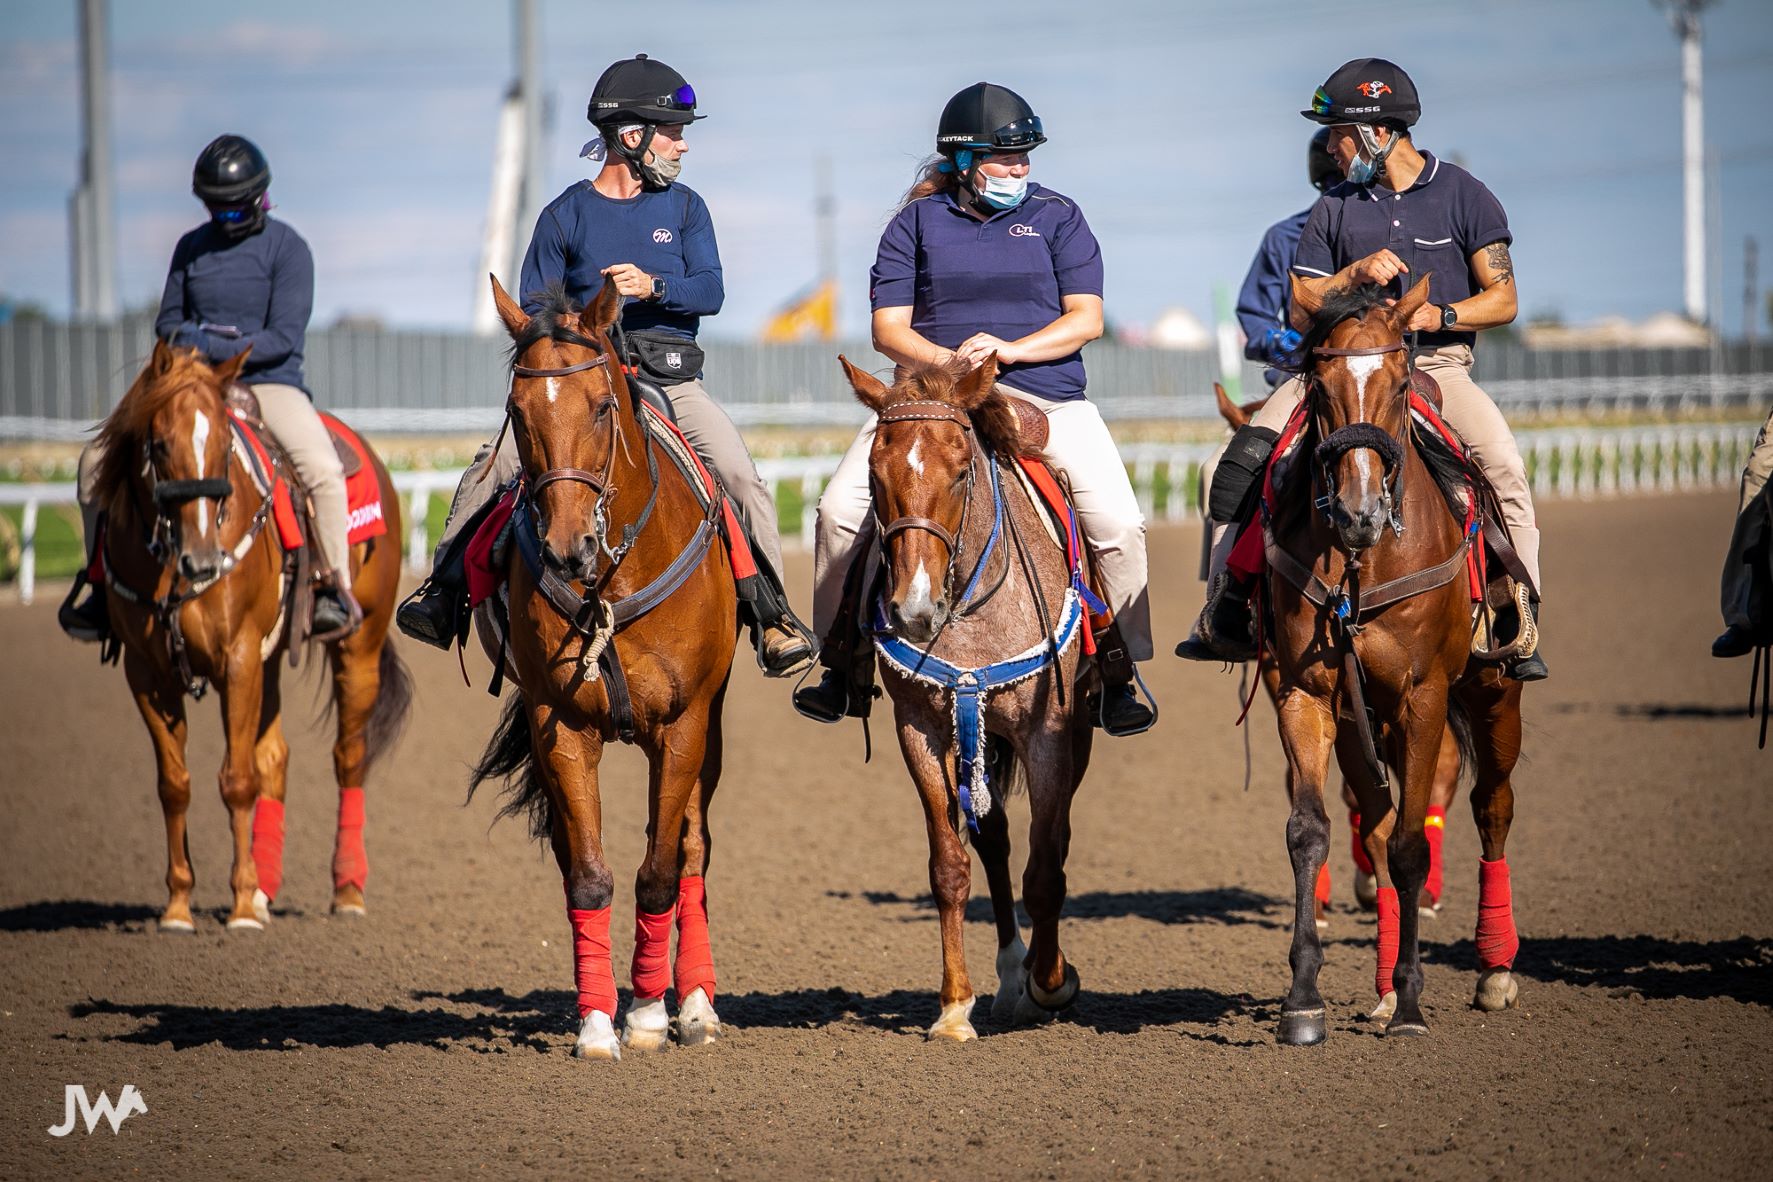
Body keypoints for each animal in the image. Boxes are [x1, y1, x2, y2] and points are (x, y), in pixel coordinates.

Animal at [92, 342, 407, 935]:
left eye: (223, 447)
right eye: (159, 444)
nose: (202, 559)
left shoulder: (236, 657)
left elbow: (236, 779)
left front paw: (239, 907)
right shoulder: (146, 673)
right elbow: (175, 784)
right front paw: (179, 906)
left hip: (359, 645)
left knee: (348, 756)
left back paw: (346, 890)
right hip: (271, 660)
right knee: (275, 759)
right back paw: (266, 887)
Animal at [468, 279, 737, 1063]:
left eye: (599, 405)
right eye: (518, 410)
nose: (567, 546)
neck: (612, 581)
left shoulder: (683, 727)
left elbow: (660, 872)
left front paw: (647, 1014)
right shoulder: (558, 727)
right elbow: (587, 877)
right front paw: (595, 1023)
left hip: (709, 732)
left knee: (692, 853)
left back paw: (696, 1006)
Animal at [833, 356, 1092, 1042]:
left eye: (960, 471)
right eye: (875, 473)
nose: (914, 610)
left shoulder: (1048, 733)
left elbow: (1045, 869)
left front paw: (1052, 982)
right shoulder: (920, 730)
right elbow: (949, 865)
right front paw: (954, 1007)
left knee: (1054, 841)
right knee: (995, 838)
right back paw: (1008, 974)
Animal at [1262, 278, 1524, 1042]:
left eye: (1400, 381)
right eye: (1317, 386)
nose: (1358, 512)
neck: (1360, 563)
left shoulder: (1424, 695)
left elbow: (1412, 846)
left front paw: (1410, 1002)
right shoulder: (1306, 694)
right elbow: (1310, 832)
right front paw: (1303, 998)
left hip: (1494, 690)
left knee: (1491, 806)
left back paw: (1494, 967)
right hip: (1359, 722)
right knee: (1373, 825)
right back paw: (1377, 987)